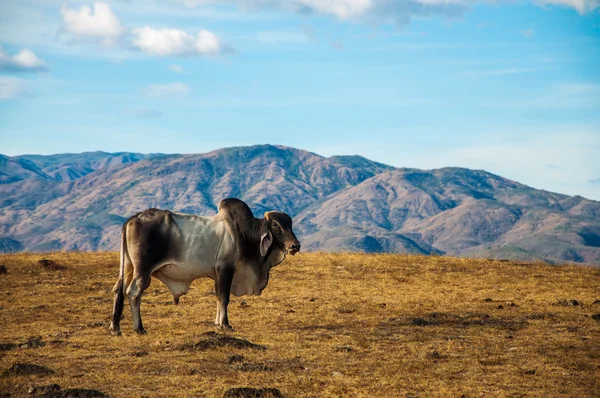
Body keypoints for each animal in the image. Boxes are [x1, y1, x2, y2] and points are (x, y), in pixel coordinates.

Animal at [109, 197, 300, 334]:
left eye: (290, 225)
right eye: (275, 225)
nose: (295, 246)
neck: (243, 233)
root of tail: (132, 219)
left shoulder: (217, 274)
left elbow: (217, 297)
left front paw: (217, 323)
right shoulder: (226, 269)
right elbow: (224, 297)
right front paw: (225, 325)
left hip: (128, 267)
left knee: (119, 289)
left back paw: (115, 327)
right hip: (143, 270)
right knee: (133, 292)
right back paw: (139, 328)